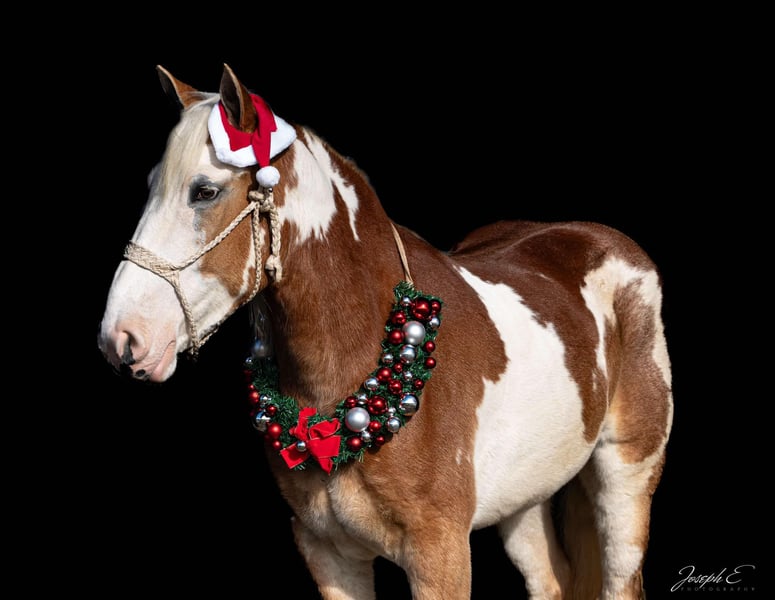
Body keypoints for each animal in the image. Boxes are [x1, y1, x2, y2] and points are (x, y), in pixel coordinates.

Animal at [98, 63, 673, 599]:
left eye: (204, 191)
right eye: (151, 185)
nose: (122, 338)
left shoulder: (440, 554)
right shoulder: (329, 554)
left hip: (626, 476)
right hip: (524, 498)